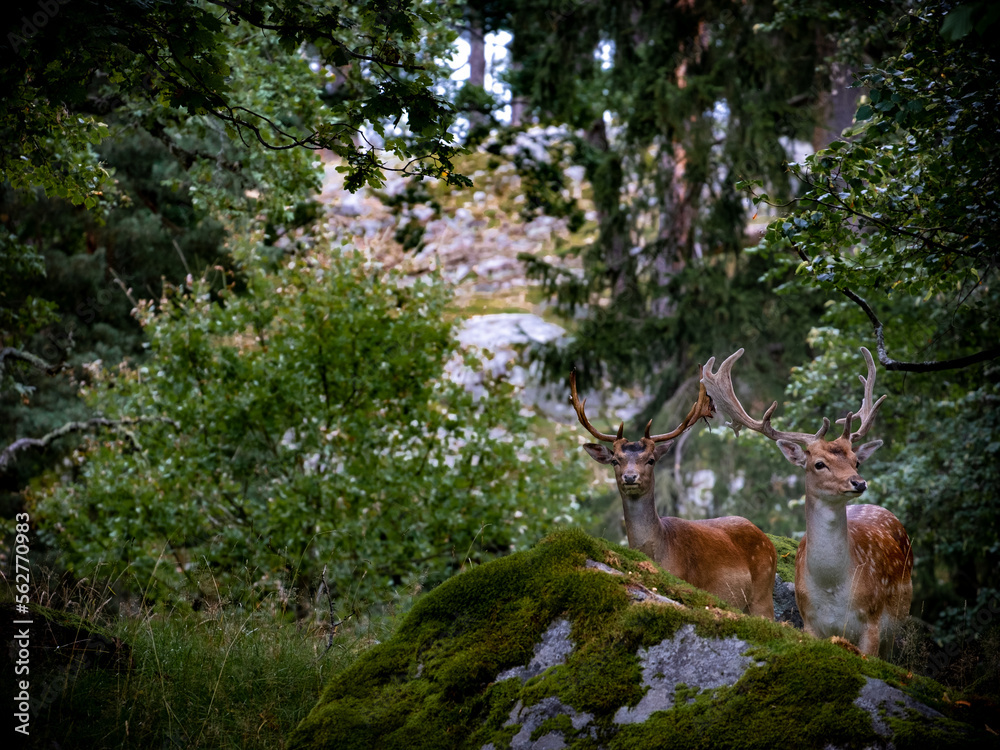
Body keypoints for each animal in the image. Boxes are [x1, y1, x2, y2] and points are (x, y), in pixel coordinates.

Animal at [570, 369, 777, 618]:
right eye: (614, 461)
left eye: (650, 460)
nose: (630, 477)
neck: (658, 552)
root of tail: (768, 541)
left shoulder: (684, 580)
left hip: (762, 594)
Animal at [700, 347, 912, 657]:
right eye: (819, 464)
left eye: (856, 461)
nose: (859, 482)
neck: (832, 589)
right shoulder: (810, 623)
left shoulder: (872, 624)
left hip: (898, 617)